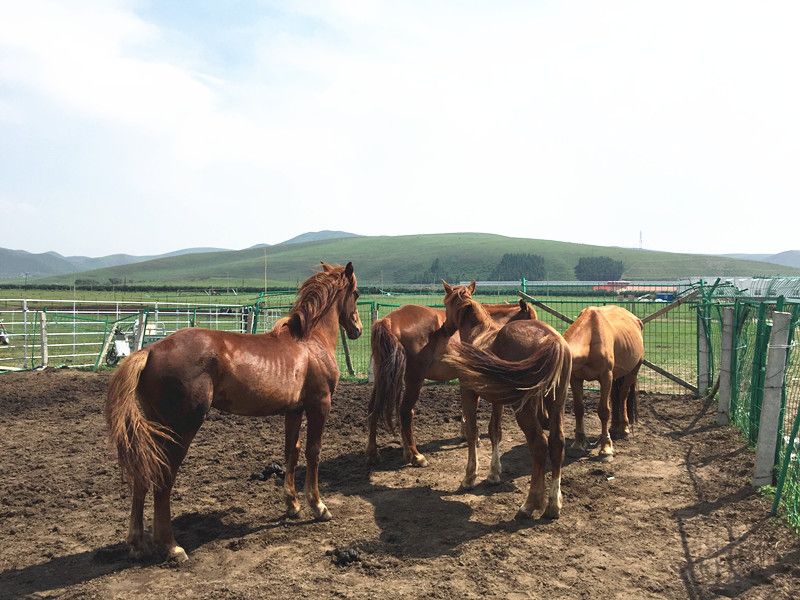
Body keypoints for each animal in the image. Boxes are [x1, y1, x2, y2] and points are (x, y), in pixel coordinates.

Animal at [104, 262, 360, 564]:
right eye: (356, 293)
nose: (358, 328)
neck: (310, 342)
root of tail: (150, 351)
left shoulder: (294, 410)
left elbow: (292, 451)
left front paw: (292, 505)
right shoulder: (320, 404)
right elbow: (313, 452)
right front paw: (318, 506)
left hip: (155, 429)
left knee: (143, 475)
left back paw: (136, 544)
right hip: (181, 430)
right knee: (163, 479)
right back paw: (171, 546)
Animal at [366, 298, 536, 466]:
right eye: (530, 320)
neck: (486, 331)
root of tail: (388, 321)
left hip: (383, 377)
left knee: (374, 408)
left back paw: (375, 453)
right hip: (414, 380)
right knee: (405, 411)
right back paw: (416, 455)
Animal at [434, 284, 572, 516]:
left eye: (446, 303)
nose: (444, 328)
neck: (479, 334)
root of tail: (551, 340)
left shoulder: (469, 393)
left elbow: (472, 432)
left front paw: (469, 477)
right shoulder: (497, 400)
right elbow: (495, 431)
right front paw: (493, 474)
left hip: (524, 409)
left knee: (539, 445)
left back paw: (530, 504)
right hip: (556, 403)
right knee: (557, 443)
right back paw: (553, 505)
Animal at [564, 304, 644, 460]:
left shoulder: (606, 377)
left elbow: (604, 411)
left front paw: (606, 448)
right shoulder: (575, 378)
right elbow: (579, 409)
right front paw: (578, 443)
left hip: (632, 372)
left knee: (623, 396)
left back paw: (624, 428)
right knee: (615, 397)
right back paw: (613, 427)